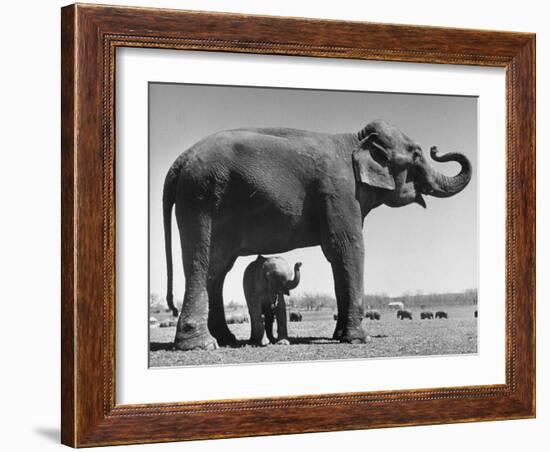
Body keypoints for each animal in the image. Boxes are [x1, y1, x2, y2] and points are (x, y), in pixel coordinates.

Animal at [165, 118, 474, 348]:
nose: (435, 148)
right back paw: (202, 346)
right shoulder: (339, 191)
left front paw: (340, 336)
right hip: (201, 199)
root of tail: (179, 161)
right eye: (417, 154)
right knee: (201, 262)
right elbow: (347, 247)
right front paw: (359, 339)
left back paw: (226, 339)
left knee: (218, 269)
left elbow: (338, 256)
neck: (356, 140)